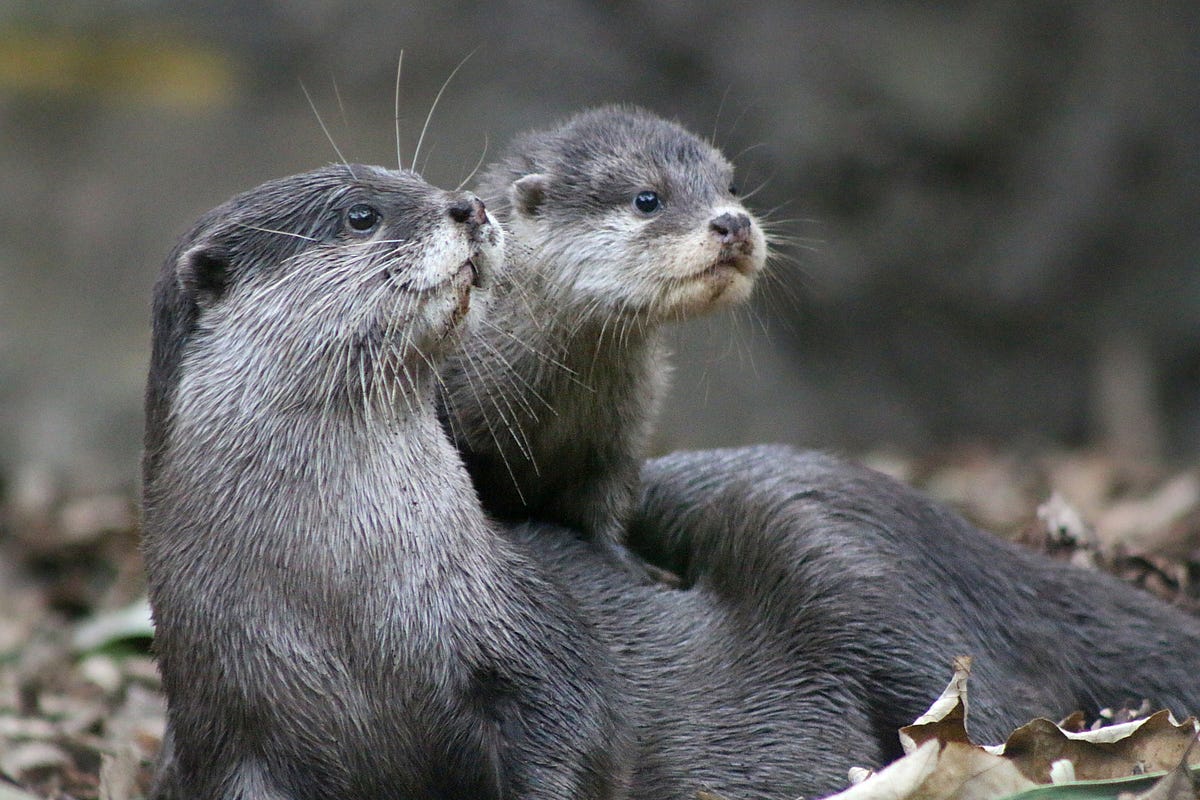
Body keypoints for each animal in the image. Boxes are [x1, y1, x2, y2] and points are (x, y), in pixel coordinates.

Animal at [140, 164, 631, 799]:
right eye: (361, 216)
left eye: (417, 180)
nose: (470, 205)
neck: (346, 610)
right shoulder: (220, 732)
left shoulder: (532, 635)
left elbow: (579, 726)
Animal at [437, 106, 765, 576]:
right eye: (647, 199)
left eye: (732, 187)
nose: (734, 222)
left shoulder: (619, 440)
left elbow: (606, 503)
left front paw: (637, 565)